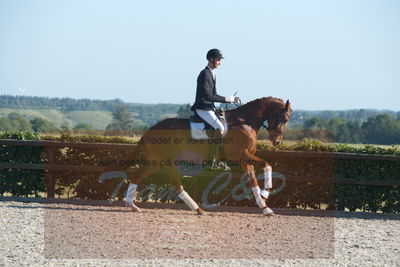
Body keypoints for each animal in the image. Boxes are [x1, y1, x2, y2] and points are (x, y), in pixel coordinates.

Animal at [125, 97, 290, 217]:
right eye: (284, 118)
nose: (276, 141)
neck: (244, 121)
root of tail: (149, 131)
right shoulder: (241, 155)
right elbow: (266, 164)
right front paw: (266, 193)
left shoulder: (245, 158)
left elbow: (253, 180)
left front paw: (265, 207)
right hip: (162, 161)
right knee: (173, 184)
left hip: (160, 162)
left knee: (142, 178)